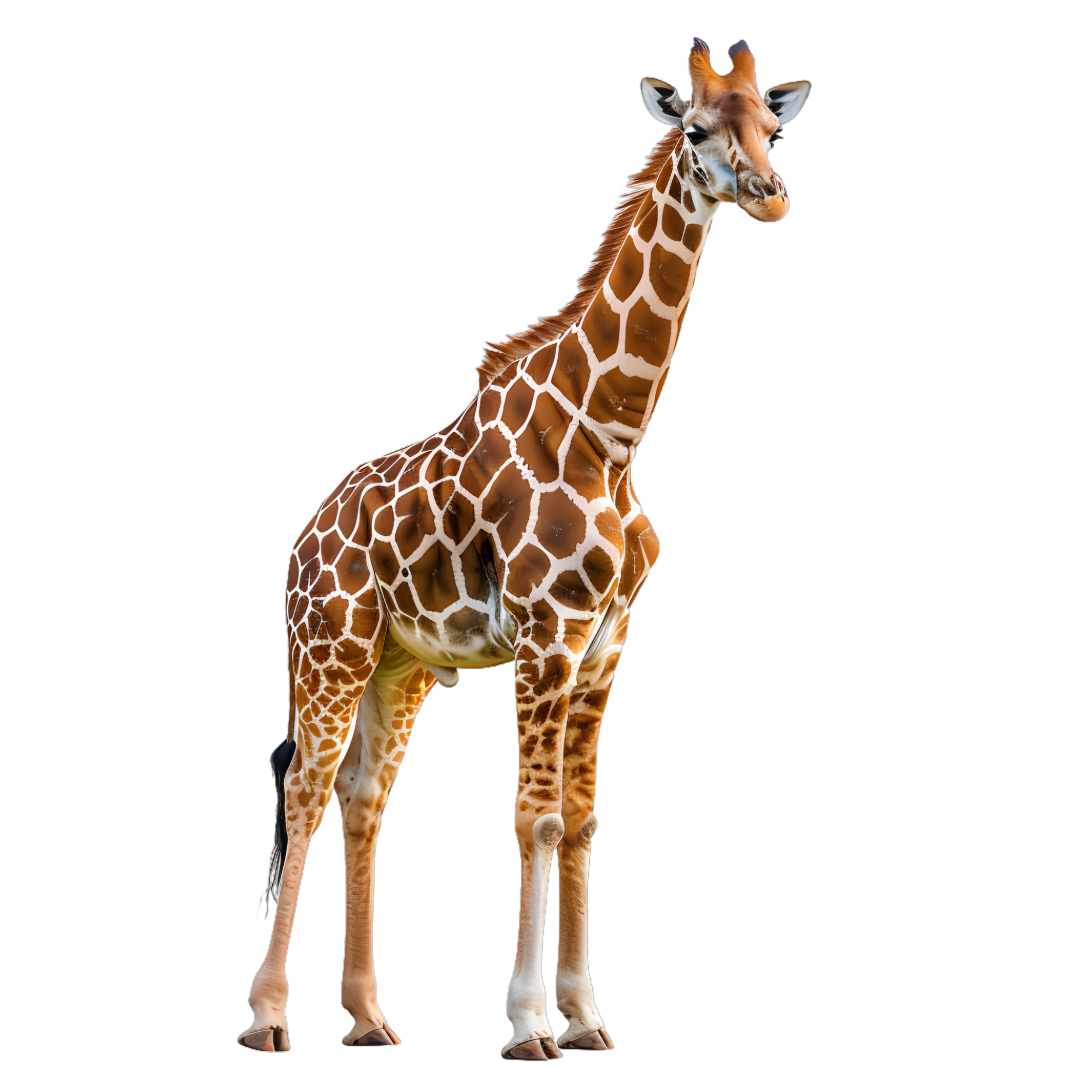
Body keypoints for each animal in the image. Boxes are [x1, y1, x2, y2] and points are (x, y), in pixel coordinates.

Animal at [237, 36, 809, 1058]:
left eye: (771, 129)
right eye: (695, 130)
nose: (768, 193)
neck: (609, 433)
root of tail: (305, 538)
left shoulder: (606, 640)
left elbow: (581, 820)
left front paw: (586, 1019)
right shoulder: (548, 631)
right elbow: (534, 819)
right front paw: (530, 1024)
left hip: (398, 666)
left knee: (363, 800)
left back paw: (370, 1019)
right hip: (328, 646)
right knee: (304, 785)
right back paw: (267, 1019)